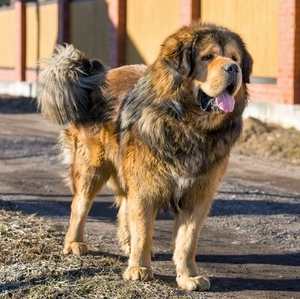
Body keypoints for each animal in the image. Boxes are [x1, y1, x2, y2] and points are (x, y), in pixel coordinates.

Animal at [38, 24, 253, 292]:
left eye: (235, 58)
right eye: (208, 57)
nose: (233, 68)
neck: (188, 125)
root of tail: (96, 78)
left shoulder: (198, 194)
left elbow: (187, 241)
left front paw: (188, 276)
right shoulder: (146, 187)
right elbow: (143, 229)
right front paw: (139, 269)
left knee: (123, 207)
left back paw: (127, 245)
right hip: (92, 168)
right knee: (80, 206)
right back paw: (75, 243)